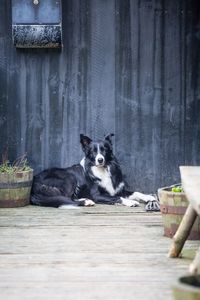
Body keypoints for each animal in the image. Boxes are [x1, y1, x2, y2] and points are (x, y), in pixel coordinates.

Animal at [30, 135, 159, 210]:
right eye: (93, 151)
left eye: (104, 150)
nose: (100, 160)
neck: (103, 169)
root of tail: (34, 184)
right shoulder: (97, 195)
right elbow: (117, 198)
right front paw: (130, 202)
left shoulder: (118, 189)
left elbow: (135, 192)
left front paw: (148, 197)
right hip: (68, 177)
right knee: (64, 198)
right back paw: (86, 201)